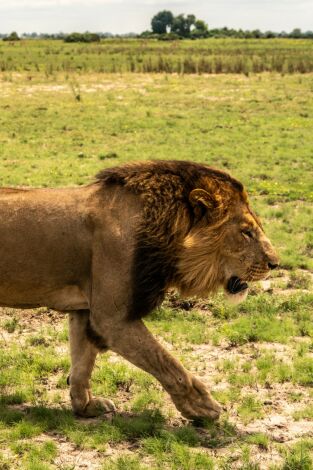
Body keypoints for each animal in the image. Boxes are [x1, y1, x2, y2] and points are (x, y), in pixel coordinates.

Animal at [0, 160, 278, 420]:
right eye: (246, 232)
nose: (275, 263)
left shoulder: (85, 310)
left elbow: (82, 362)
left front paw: (86, 406)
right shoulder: (112, 319)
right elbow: (167, 362)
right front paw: (202, 406)